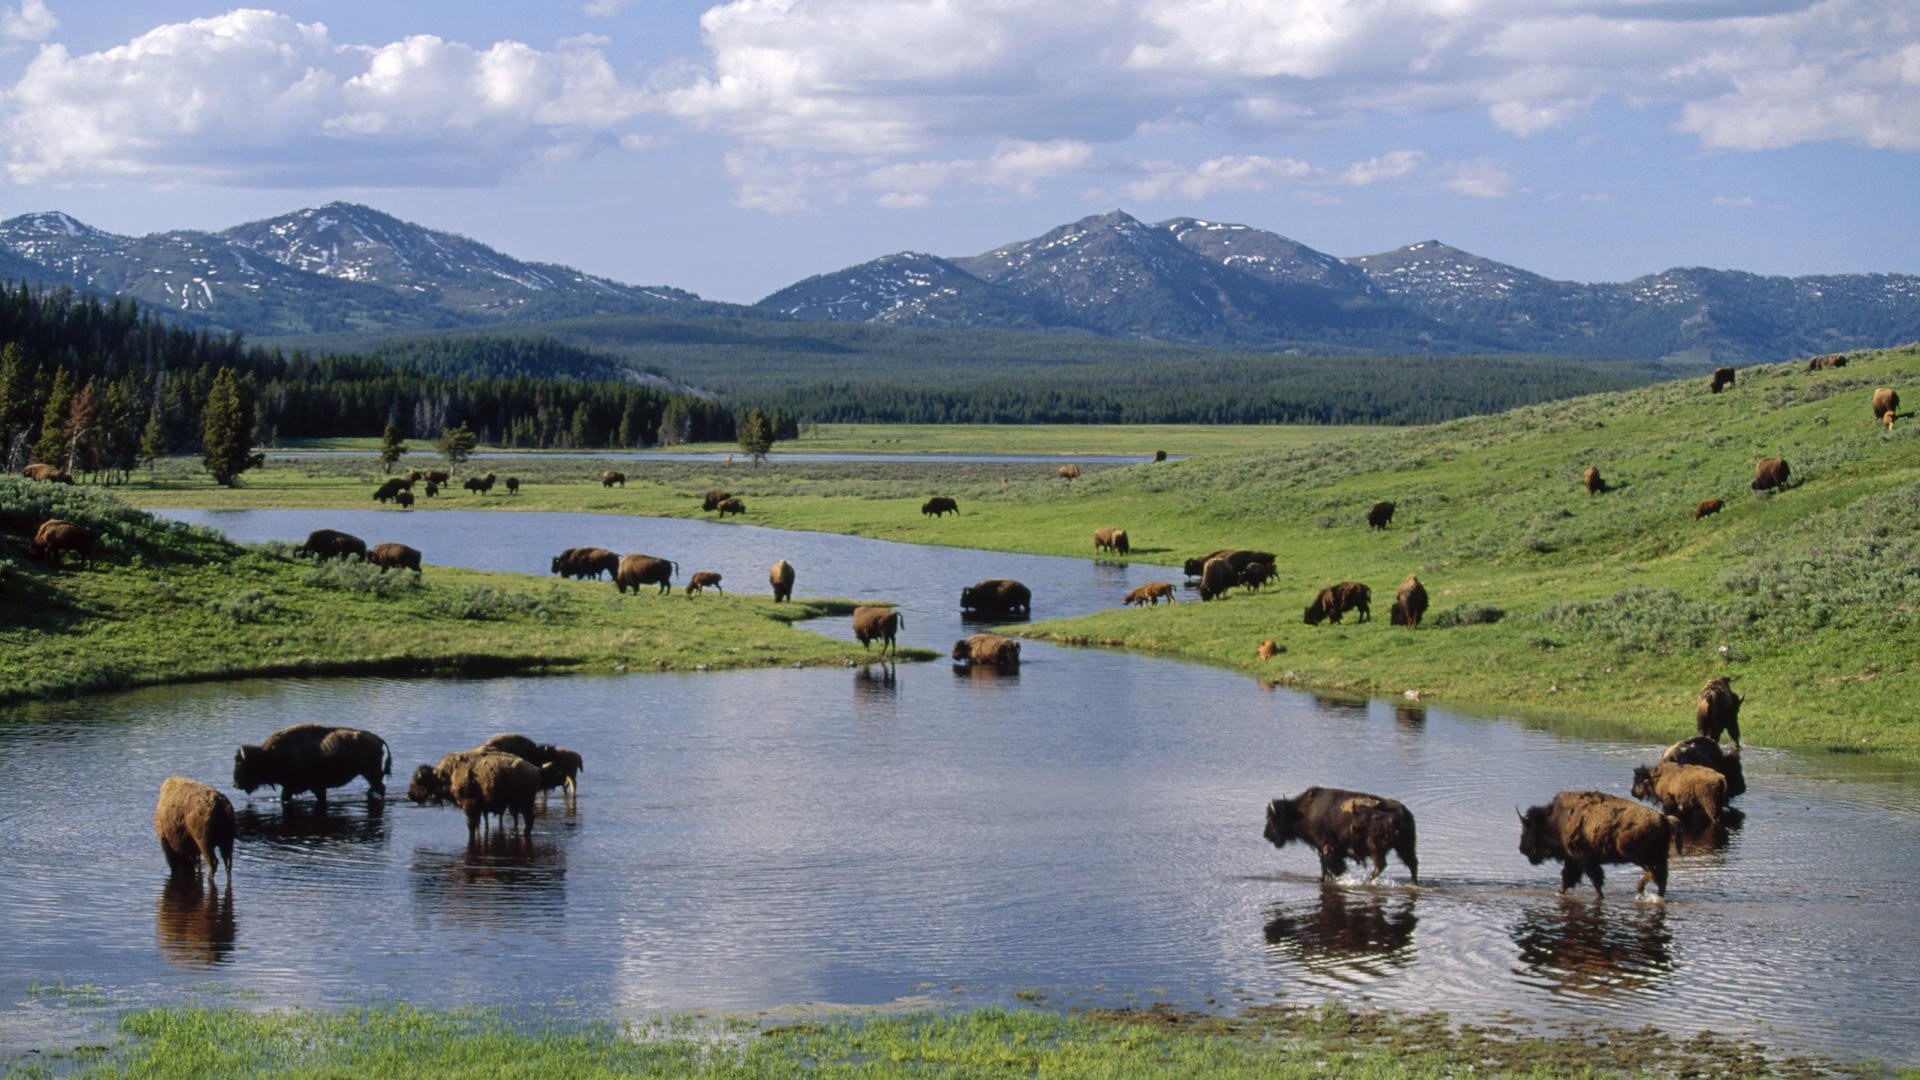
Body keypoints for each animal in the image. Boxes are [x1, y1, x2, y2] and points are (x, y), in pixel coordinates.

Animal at [234, 718, 391, 803]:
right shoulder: (294, 787)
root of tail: (378, 740)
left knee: (380, 787)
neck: (269, 754)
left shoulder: (313, 787)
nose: (235, 784)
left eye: (241, 764)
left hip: (370, 773)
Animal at [408, 749, 545, 834]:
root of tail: (535, 770)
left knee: (529, 818)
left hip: (523, 803)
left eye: (419, 782)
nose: (410, 795)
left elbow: (471, 824)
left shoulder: (469, 804)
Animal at [1267, 780, 1420, 883]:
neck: (1303, 812)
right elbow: (1323, 867)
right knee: (1412, 863)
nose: (1266, 835)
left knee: (1381, 865)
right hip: (1404, 846)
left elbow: (1331, 866)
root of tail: (1403, 813)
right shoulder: (1322, 850)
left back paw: (1366, 880)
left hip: (1376, 847)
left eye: (1273, 818)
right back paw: (1414, 882)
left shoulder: (1327, 848)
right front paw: (1321, 879)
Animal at [1520, 787, 1674, 895]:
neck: (1557, 820)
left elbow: (1593, 880)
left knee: (1655, 874)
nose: (1522, 849)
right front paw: (1560, 892)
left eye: (1528, 828)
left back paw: (1640, 888)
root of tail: (1664, 819)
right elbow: (1569, 879)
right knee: (1661, 878)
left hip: (1641, 857)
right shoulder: (1573, 859)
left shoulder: (1583, 859)